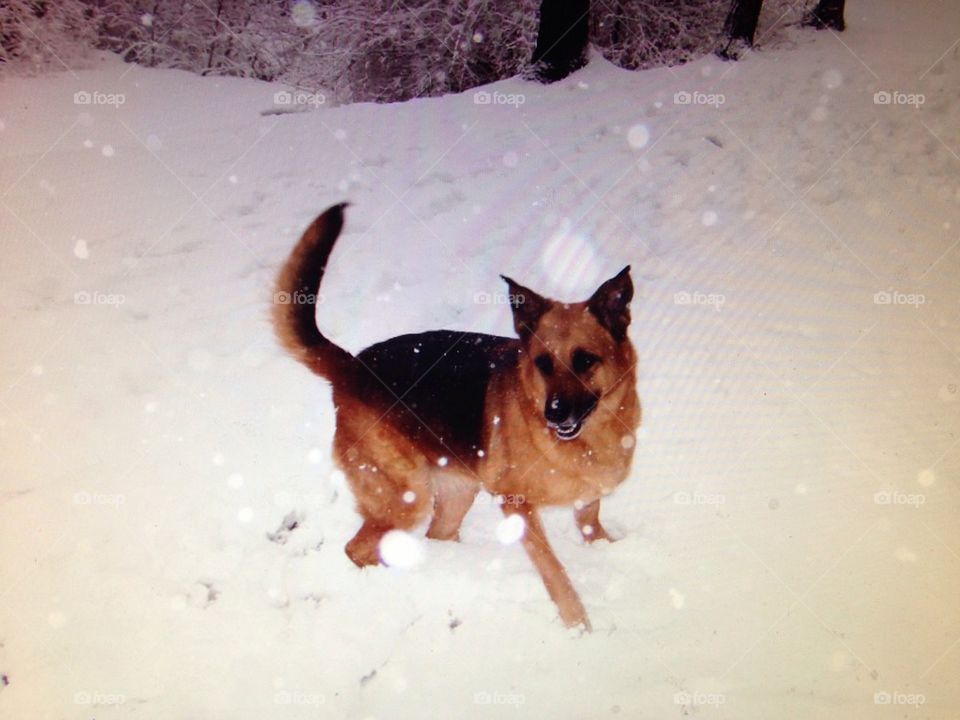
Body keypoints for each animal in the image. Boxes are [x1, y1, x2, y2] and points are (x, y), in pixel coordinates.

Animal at [274, 202, 640, 632]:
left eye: (585, 361)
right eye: (542, 363)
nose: (553, 415)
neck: (593, 436)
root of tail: (353, 366)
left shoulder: (589, 499)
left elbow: (592, 525)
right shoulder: (517, 505)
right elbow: (554, 570)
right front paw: (578, 624)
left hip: (455, 492)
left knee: (436, 535)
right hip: (407, 496)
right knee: (357, 548)